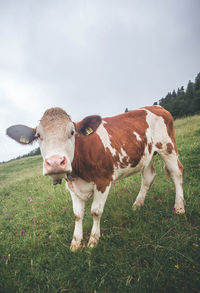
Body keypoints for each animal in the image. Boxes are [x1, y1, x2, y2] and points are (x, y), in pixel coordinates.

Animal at [6, 105, 184, 249]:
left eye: (72, 132)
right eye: (38, 136)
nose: (55, 162)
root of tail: (157, 107)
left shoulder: (103, 181)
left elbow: (95, 212)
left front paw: (93, 240)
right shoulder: (72, 186)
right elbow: (77, 214)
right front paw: (76, 243)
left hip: (168, 147)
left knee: (177, 173)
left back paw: (180, 207)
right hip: (145, 156)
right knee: (148, 177)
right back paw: (137, 205)